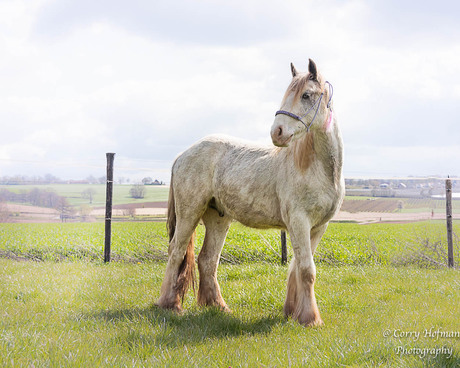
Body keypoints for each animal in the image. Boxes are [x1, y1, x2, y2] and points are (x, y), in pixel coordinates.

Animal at [156, 59, 344, 326]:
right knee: (176, 252)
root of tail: (183, 154)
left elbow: (297, 267)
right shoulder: (299, 222)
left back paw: (218, 306)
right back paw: (169, 304)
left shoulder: (317, 227)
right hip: (189, 214)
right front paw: (310, 319)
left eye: (306, 95)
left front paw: (292, 312)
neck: (318, 169)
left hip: (218, 219)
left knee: (207, 259)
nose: (277, 132)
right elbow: (307, 270)